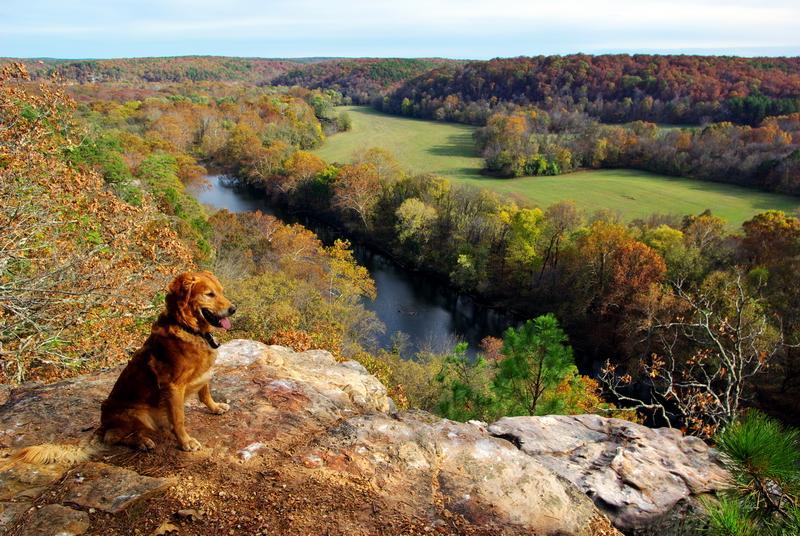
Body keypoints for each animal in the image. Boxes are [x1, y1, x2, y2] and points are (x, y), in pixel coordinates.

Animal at [5, 270, 238, 466]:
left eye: (221, 292)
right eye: (209, 294)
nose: (233, 309)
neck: (187, 327)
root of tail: (102, 424)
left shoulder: (202, 373)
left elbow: (205, 392)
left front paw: (215, 407)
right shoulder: (173, 386)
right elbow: (179, 419)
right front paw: (185, 442)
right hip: (137, 414)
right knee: (116, 437)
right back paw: (142, 441)